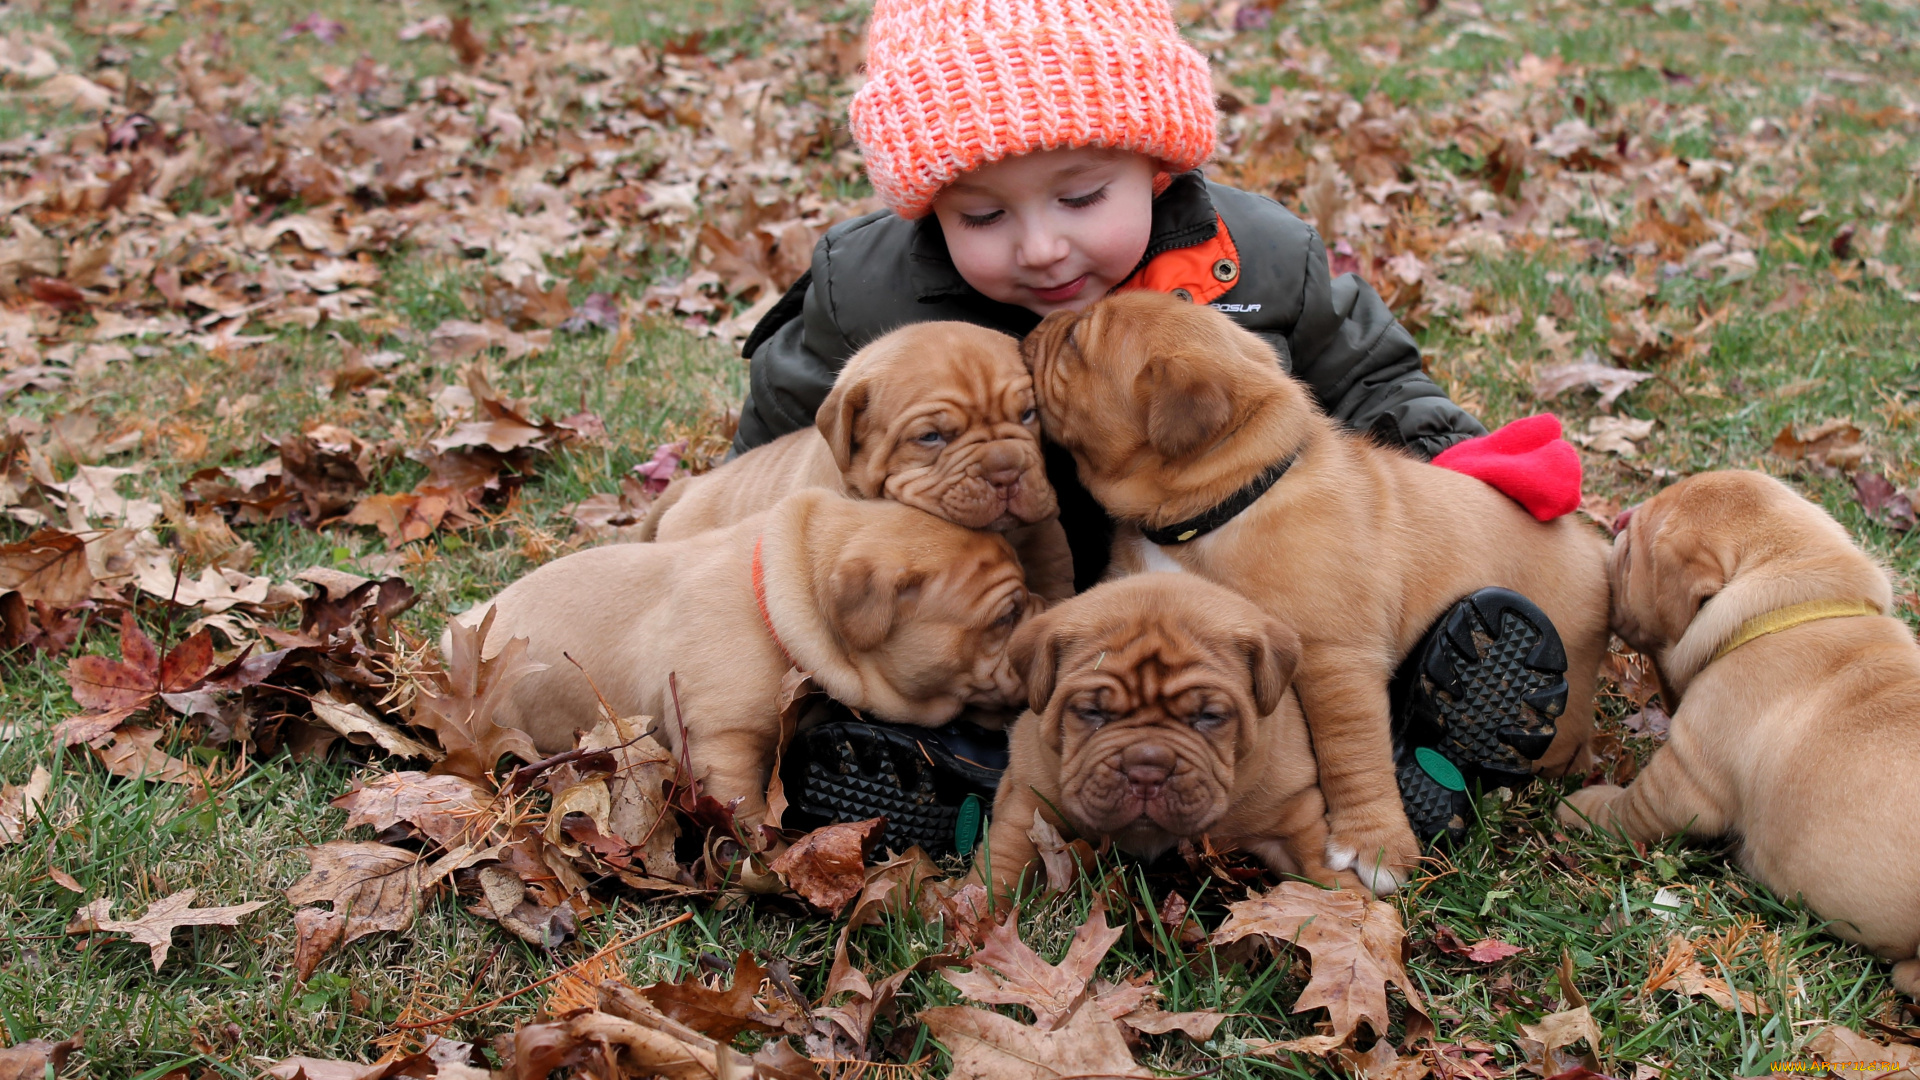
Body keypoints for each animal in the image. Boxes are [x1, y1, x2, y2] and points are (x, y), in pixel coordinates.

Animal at [975, 576, 1367, 895]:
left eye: (1209, 716)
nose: (1146, 770)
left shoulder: (1292, 811)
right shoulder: (1029, 803)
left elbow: (1320, 862)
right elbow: (1001, 866)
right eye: (1091, 712)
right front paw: (976, 913)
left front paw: (1353, 912)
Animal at [1029, 292, 1612, 891]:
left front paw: (1373, 845)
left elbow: (1351, 752)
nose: (1041, 325)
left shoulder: (1335, 659)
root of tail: (1598, 549)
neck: (1227, 502)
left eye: (1075, 340)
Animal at [1559, 466, 1920, 991]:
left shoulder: (1684, 777)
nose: (1620, 518)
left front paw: (1581, 805)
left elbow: (1629, 808)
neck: (1786, 605)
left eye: (1630, 554)